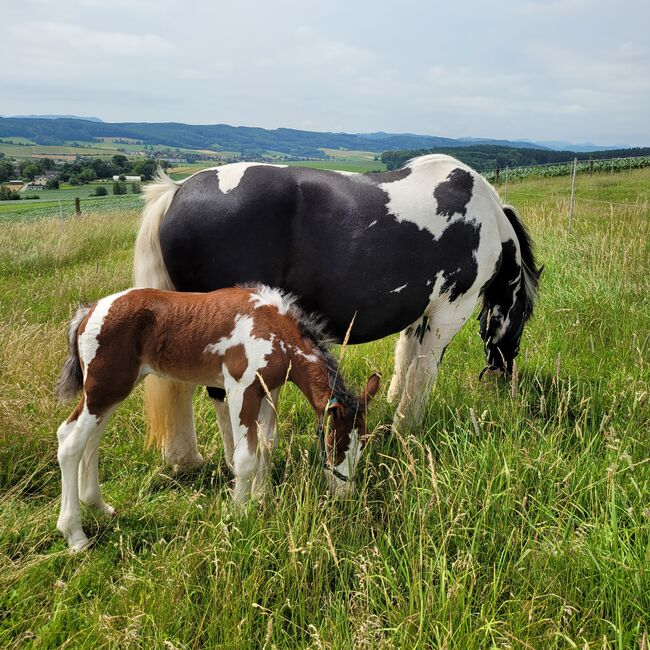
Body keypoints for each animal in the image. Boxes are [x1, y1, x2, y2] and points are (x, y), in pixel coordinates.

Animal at [55, 284, 380, 548]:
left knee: (86, 438)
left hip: (113, 390)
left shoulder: (269, 391)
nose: (345, 493)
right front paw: (240, 514)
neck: (274, 331)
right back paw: (75, 535)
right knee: (71, 444)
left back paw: (98, 505)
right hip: (105, 388)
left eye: (362, 443)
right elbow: (245, 458)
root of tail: (89, 311)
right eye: (335, 443)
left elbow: (267, 445)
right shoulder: (240, 390)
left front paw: (261, 497)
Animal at [134, 154, 540, 468]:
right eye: (523, 318)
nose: (504, 377)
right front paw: (407, 429)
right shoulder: (447, 313)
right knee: (220, 394)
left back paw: (188, 459)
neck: (484, 216)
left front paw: (393, 407)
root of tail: (177, 192)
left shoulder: (419, 314)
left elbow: (405, 359)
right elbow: (422, 374)